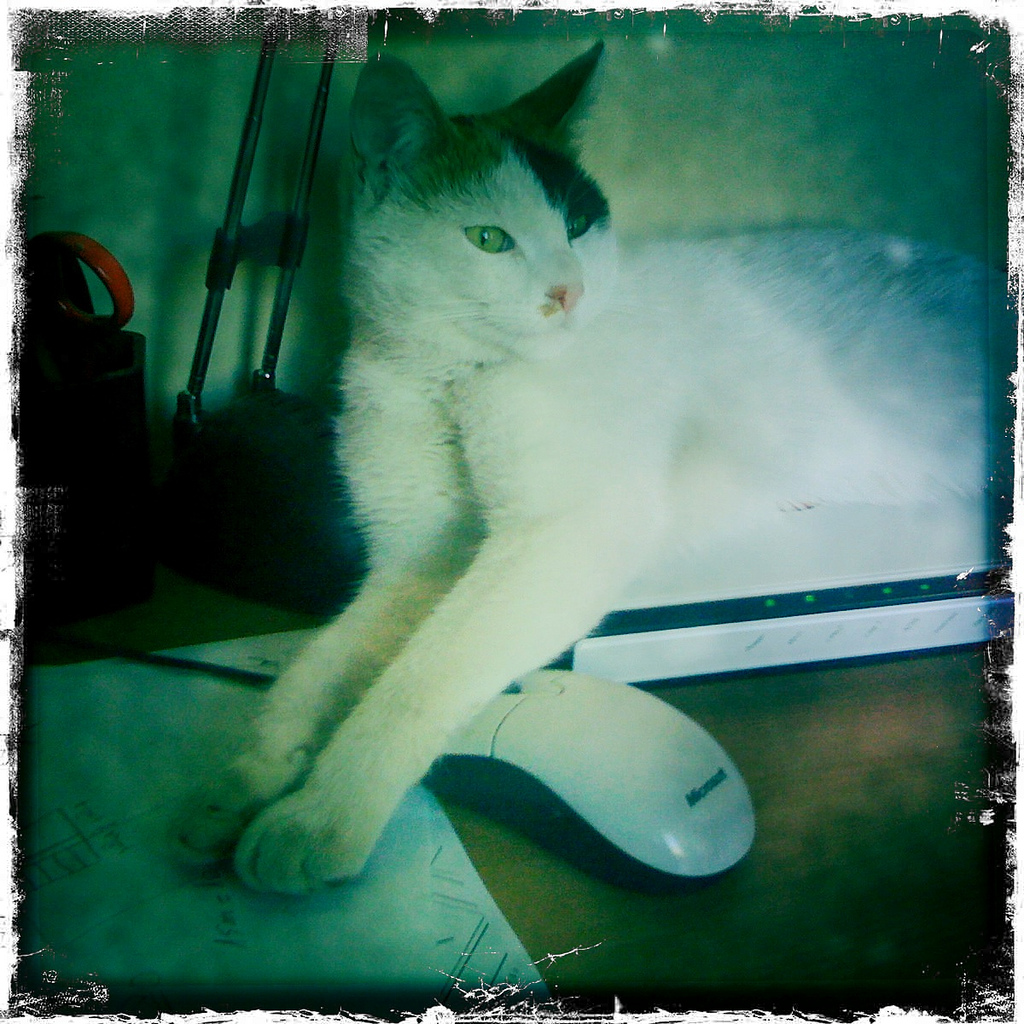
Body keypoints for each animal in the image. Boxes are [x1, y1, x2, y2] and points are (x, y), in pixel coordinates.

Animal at [178, 42, 990, 893]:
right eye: (489, 239)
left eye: (575, 223)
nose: (569, 290)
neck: (454, 380)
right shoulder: (416, 561)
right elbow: (317, 670)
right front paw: (243, 781)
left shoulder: (565, 535)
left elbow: (418, 679)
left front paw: (317, 819)